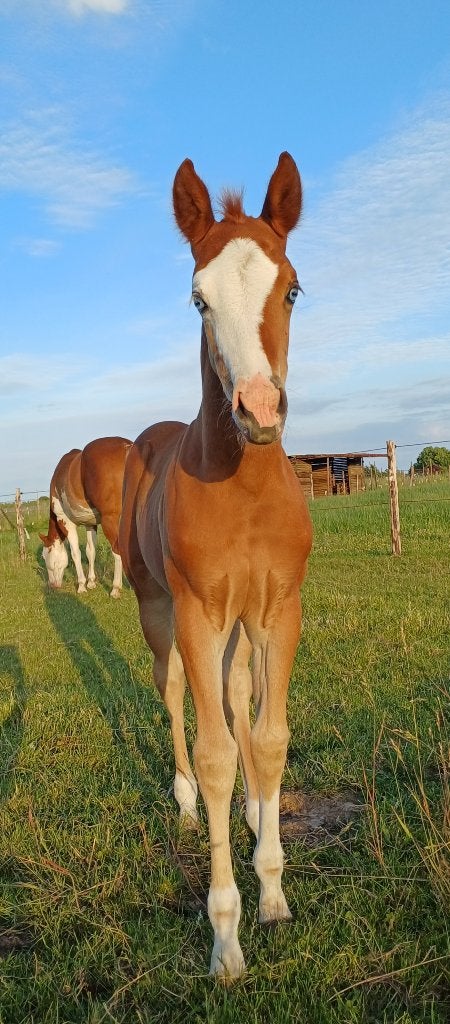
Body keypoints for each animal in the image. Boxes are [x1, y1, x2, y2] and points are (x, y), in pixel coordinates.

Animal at [40, 436, 131, 597]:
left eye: (45, 556)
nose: (52, 585)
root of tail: (127, 446)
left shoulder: (66, 522)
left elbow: (75, 553)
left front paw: (82, 585)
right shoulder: (91, 524)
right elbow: (90, 552)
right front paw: (91, 582)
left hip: (110, 520)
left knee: (117, 550)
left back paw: (115, 588)